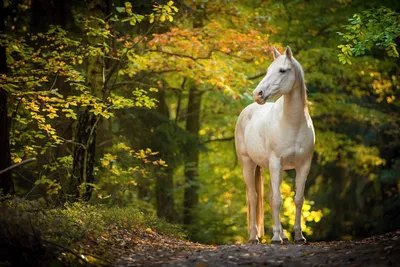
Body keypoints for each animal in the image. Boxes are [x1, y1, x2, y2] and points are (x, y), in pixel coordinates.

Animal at [234, 46, 316, 245]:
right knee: (253, 197)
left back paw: (283, 236)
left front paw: (298, 236)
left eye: (282, 70)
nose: (258, 94)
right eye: (267, 70)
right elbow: (278, 200)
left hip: (273, 169)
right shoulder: (275, 162)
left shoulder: (303, 165)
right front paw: (276, 238)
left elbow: (298, 199)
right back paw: (254, 237)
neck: (293, 124)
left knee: (270, 197)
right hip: (248, 164)